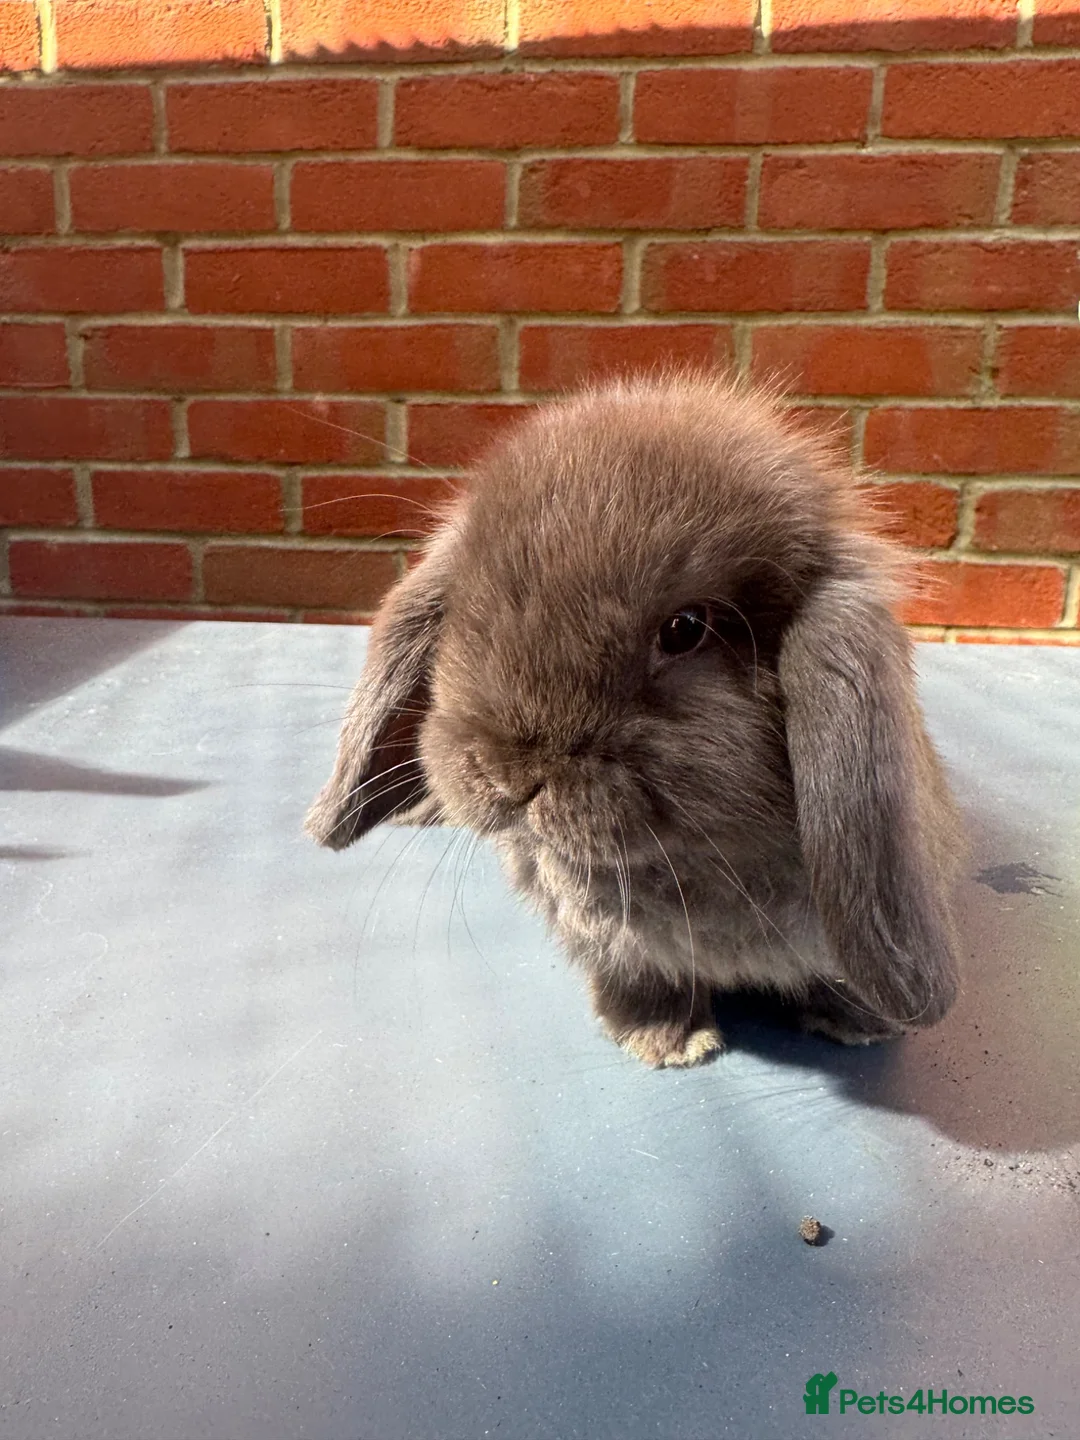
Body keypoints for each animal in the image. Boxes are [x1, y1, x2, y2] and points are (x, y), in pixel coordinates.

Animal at [305, 373, 962, 1069]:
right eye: (468, 608)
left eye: (686, 628)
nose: (511, 778)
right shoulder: (619, 949)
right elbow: (647, 979)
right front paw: (664, 1042)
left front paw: (856, 1025)